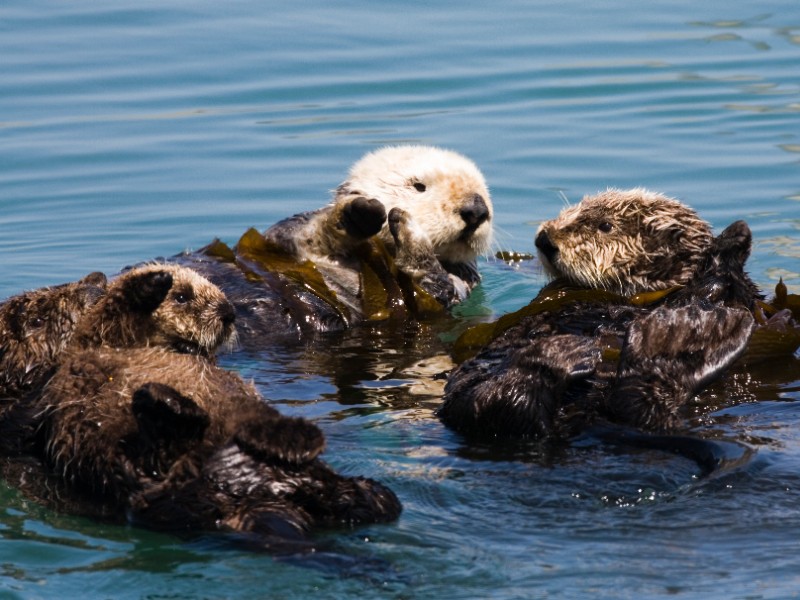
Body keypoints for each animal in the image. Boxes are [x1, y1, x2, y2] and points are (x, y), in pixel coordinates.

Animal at [172, 144, 490, 342]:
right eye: (418, 185)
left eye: (484, 191)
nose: (476, 210)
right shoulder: (284, 237)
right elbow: (302, 232)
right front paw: (357, 215)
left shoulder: (456, 287)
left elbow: (431, 288)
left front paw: (410, 231)